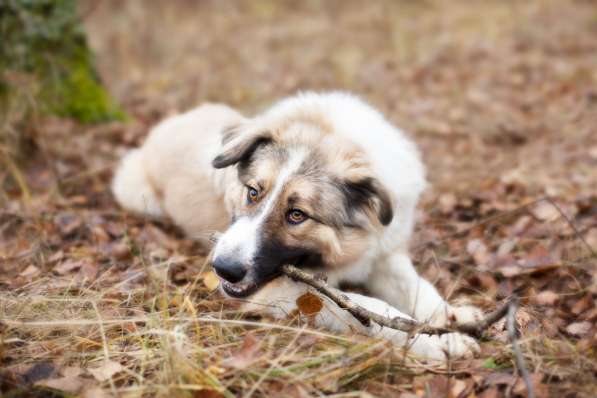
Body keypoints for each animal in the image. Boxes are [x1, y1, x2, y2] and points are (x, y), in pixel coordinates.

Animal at [113, 91, 484, 362]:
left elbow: (419, 287)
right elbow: (366, 307)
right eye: (252, 192)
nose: (223, 270)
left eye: (297, 215)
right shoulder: (282, 294)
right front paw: (432, 341)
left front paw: (451, 319)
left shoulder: (384, 255)